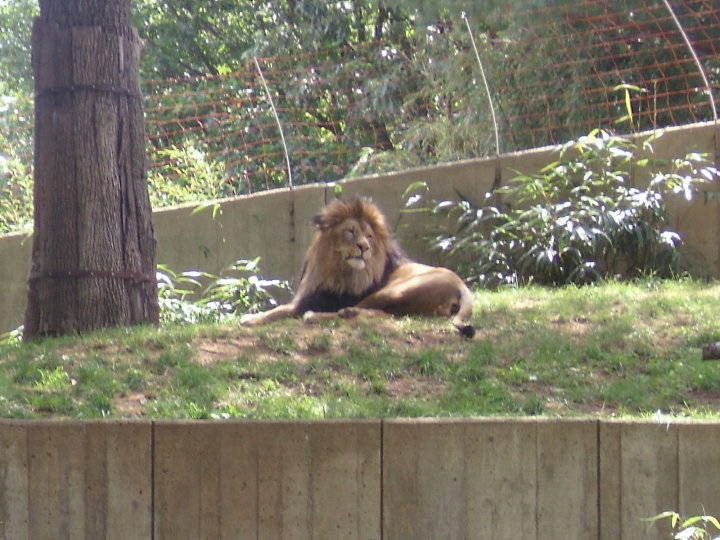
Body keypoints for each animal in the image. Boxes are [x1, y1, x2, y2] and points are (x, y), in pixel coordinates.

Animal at [240, 197, 475, 337]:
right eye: (351, 232)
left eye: (369, 236)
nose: (364, 246)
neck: (334, 268)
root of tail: (461, 285)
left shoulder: (313, 301)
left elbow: (278, 310)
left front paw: (250, 319)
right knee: (389, 314)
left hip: (393, 291)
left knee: (380, 314)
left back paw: (322, 315)